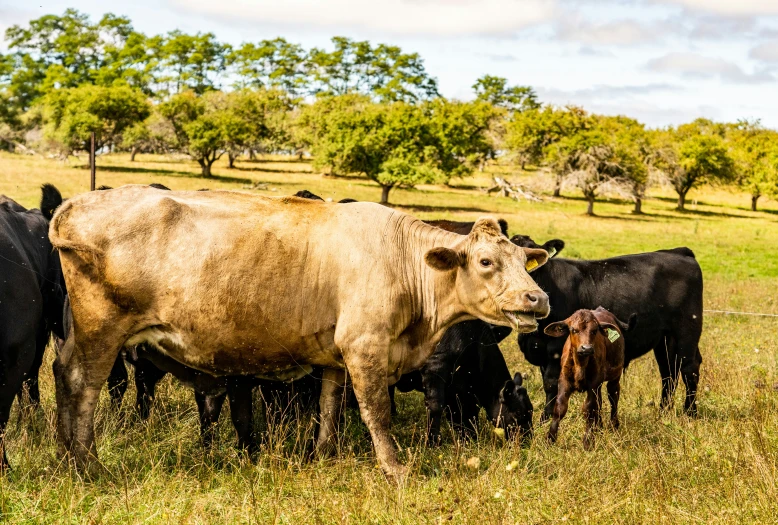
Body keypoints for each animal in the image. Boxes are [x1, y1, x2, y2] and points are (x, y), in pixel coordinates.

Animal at [48, 186, 548, 482]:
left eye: (525, 263)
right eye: (486, 261)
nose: (537, 299)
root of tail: (77, 204)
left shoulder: (336, 356)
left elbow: (330, 407)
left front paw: (323, 454)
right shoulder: (366, 348)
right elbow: (377, 414)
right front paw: (395, 469)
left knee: (61, 371)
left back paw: (65, 454)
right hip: (102, 330)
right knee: (82, 384)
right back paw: (88, 463)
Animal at [512, 233, 700, 418]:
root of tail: (678, 252)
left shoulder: (556, 349)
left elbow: (551, 384)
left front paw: (547, 418)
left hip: (687, 331)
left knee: (689, 367)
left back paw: (690, 412)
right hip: (664, 338)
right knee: (668, 370)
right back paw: (663, 411)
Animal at [544, 304, 632, 448]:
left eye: (594, 330)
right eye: (574, 330)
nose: (587, 348)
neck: (581, 364)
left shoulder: (593, 383)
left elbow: (589, 408)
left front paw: (588, 440)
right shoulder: (564, 380)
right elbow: (560, 407)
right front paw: (550, 439)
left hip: (615, 377)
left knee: (613, 398)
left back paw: (613, 426)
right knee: (600, 402)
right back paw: (599, 427)